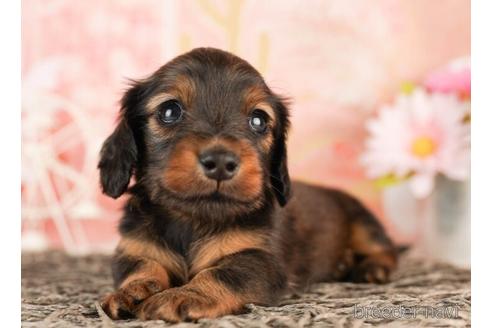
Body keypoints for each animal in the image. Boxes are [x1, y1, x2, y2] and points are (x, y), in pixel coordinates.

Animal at [98, 47, 398, 322]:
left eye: (258, 120)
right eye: (169, 110)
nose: (221, 162)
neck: (193, 219)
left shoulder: (260, 259)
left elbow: (222, 273)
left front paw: (183, 295)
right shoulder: (134, 247)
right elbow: (141, 266)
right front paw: (132, 291)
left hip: (364, 224)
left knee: (387, 250)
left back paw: (371, 268)